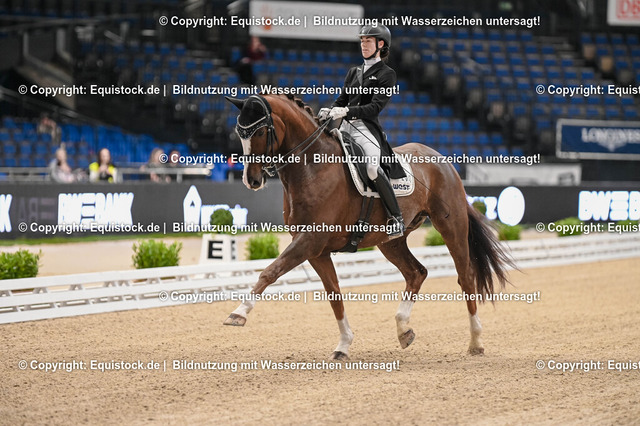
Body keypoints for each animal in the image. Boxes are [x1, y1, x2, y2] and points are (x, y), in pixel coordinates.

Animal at [224, 93, 513, 360]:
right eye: (239, 133)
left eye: (261, 131)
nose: (252, 180)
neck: (312, 166)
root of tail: (441, 159)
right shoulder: (316, 250)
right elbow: (334, 294)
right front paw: (343, 345)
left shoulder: (310, 241)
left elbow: (269, 272)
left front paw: (238, 313)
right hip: (390, 241)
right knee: (417, 272)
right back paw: (403, 330)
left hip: (451, 227)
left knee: (465, 277)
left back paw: (476, 342)